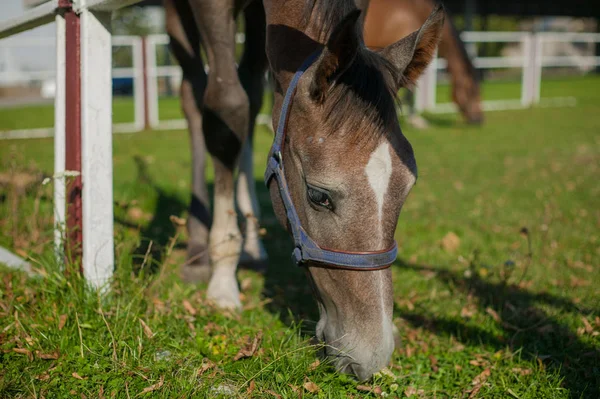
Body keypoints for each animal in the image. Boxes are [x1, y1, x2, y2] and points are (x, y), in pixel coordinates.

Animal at [164, 0, 446, 382]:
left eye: (407, 188)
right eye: (318, 196)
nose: (372, 354)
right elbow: (226, 109)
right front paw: (223, 282)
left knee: (251, 95)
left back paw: (252, 244)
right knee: (195, 98)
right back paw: (198, 252)